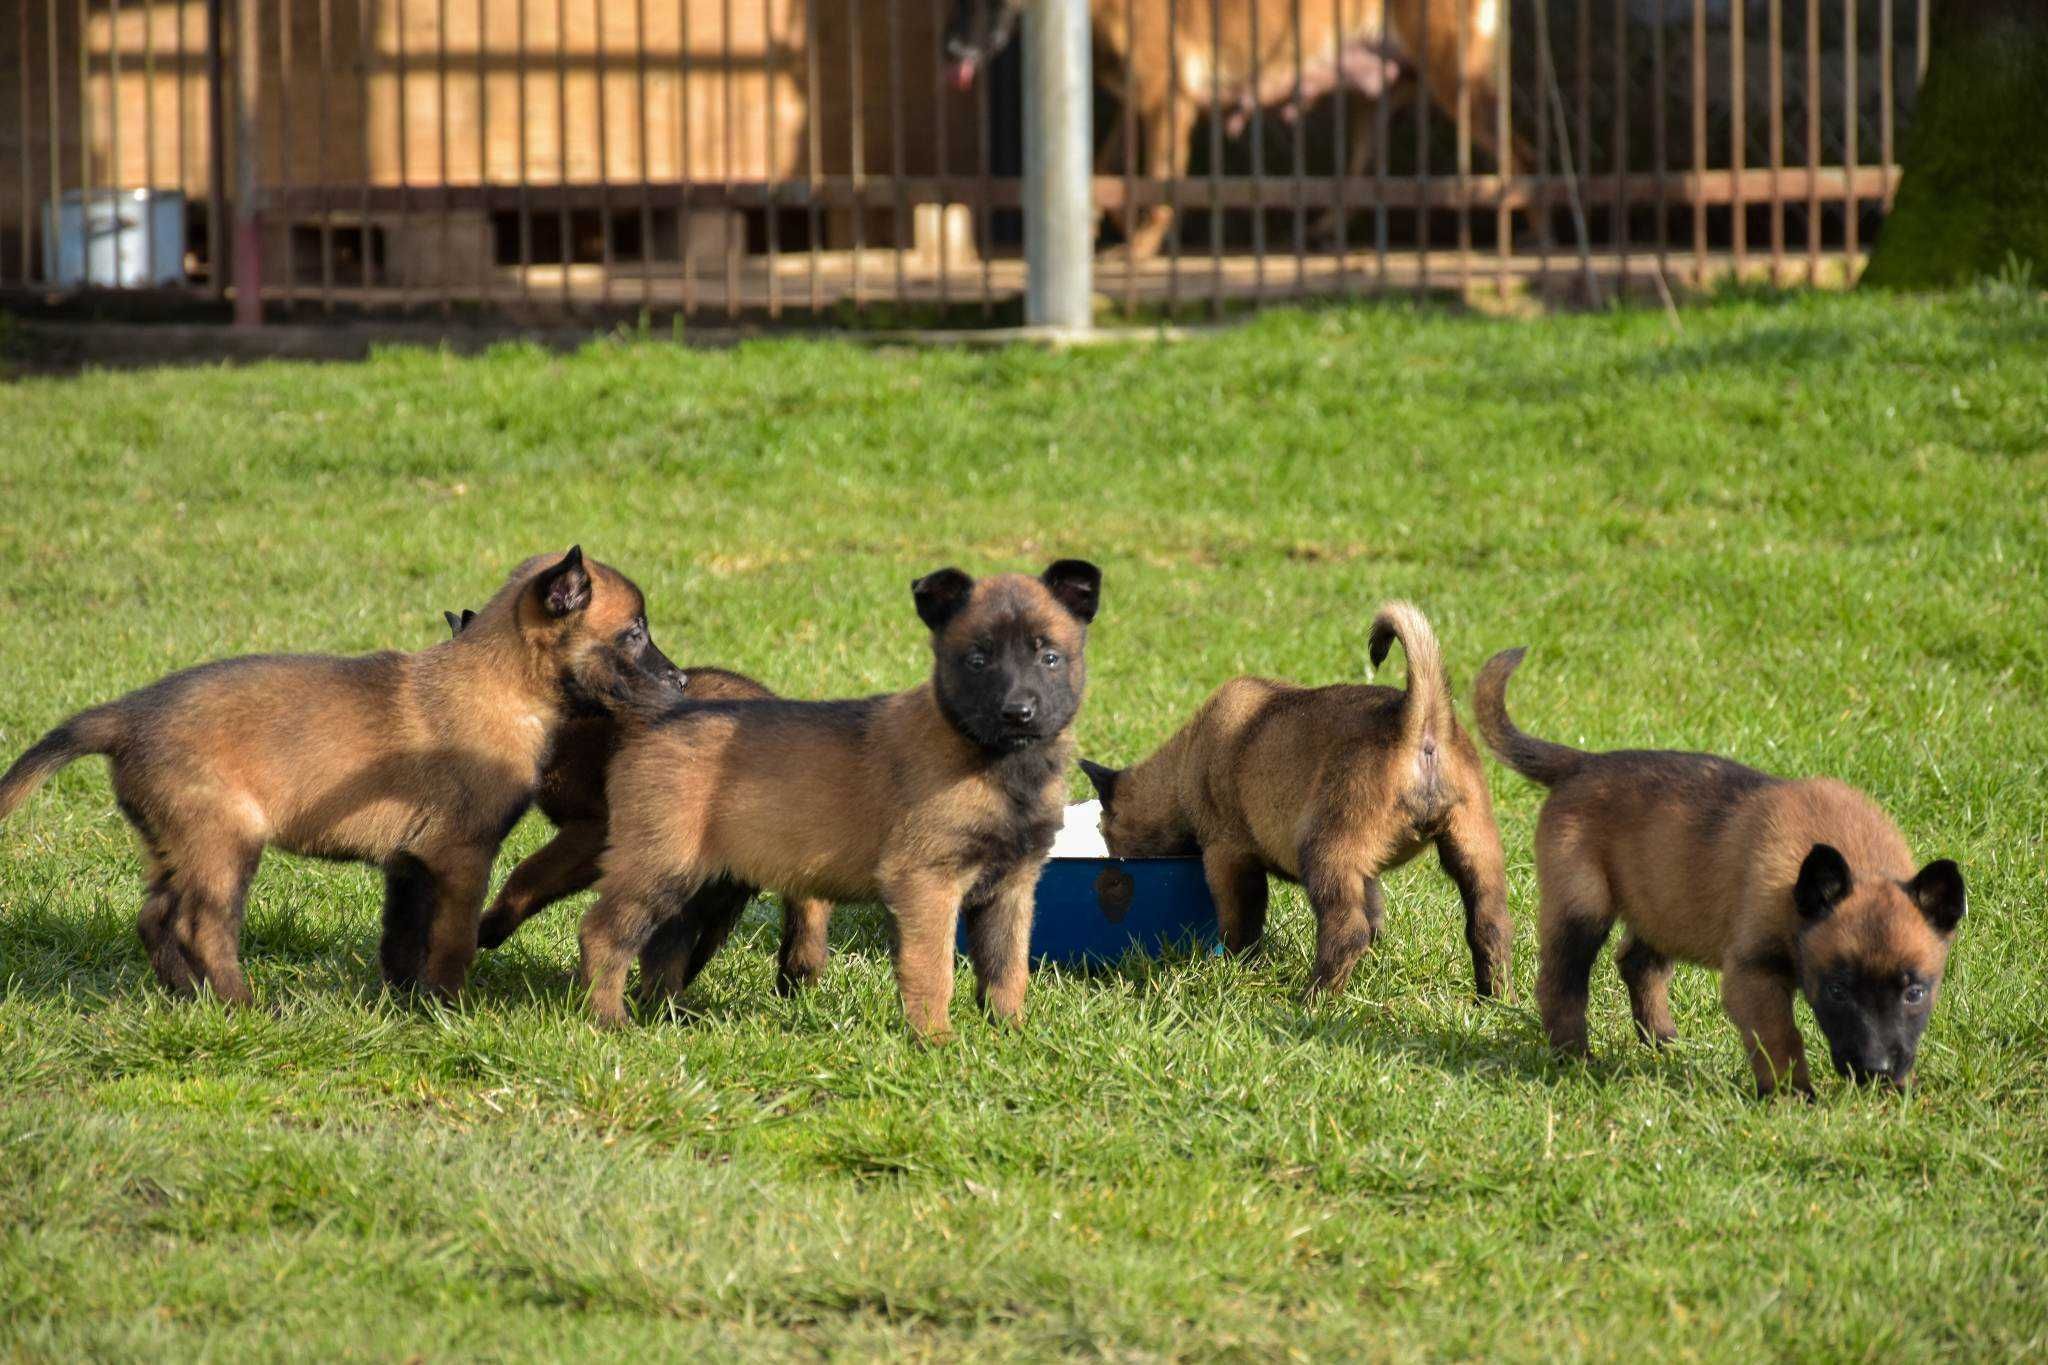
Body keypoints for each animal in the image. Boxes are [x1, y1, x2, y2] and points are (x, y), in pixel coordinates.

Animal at [0, 548, 671, 1002]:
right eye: (635, 634)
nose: (678, 682)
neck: (502, 685)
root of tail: (126, 715)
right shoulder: (463, 855)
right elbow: (452, 940)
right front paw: (451, 1006)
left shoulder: (411, 863)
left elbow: (403, 938)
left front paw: (408, 1005)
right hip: (224, 841)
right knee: (201, 926)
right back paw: (243, 1006)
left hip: (173, 842)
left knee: (154, 918)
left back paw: (187, 998)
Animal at [577, 560, 1105, 1039]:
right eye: (977, 660)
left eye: (1050, 657)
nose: (1018, 712)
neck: (997, 763)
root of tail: (657, 716)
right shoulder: (926, 883)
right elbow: (933, 971)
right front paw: (935, 1041)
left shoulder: (1011, 887)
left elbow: (1006, 968)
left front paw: (1012, 1032)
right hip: (660, 865)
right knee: (603, 935)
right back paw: (608, 1020)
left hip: (699, 883)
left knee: (664, 945)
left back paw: (668, 1014)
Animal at [1081, 601, 1515, 998]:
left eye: (1106, 832)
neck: (1181, 765)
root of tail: (1419, 719)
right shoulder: (1364, 872)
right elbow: (1375, 913)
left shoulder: (1228, 857)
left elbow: (1241, 922)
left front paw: (1234, 966)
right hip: (1473, 848)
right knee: (1489, 926)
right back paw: (1493, 999)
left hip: (1326, 852)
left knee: (1345, 932)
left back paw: (1313, 1001)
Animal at [1474, 646, 1966, 1096]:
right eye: (1838, 991)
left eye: (1915, 993)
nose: (1877, 1072)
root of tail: (1583, 763)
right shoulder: (1753, 973)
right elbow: (1780, 1036)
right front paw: (1791, 1096)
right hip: (1582, 905)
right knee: (1562, 982)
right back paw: (1575, 1056)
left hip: (1665, 898)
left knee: (1638, 964)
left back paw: (1664, 1042)